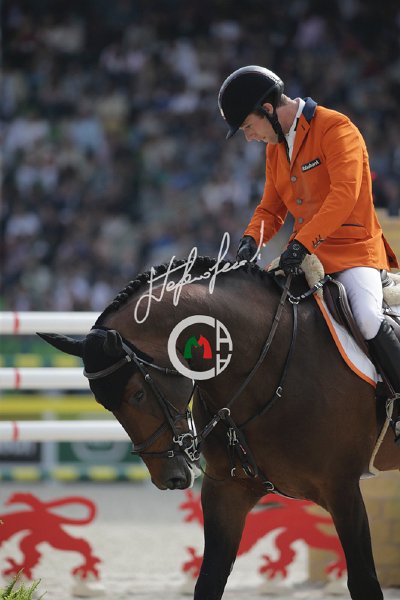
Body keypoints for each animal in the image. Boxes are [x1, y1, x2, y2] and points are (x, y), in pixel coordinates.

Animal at [38, 256, 400, 600]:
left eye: (138, 394)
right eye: (104, 404)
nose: (169, 476)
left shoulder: (342, 489)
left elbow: (364, 583)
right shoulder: (227, 490)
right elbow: (209, 581)